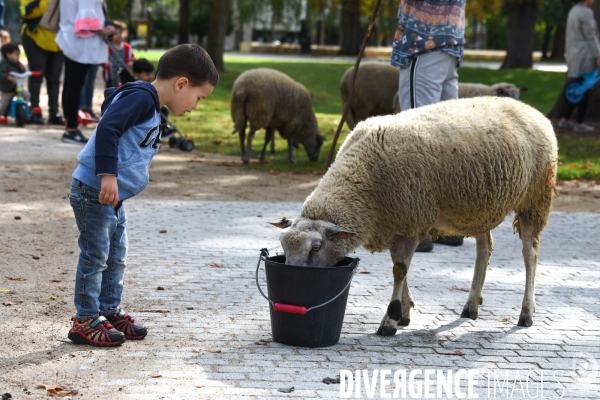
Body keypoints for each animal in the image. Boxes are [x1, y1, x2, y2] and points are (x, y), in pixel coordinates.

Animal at [272, 97, 556, 334]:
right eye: (284, 246)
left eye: (315, 248)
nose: (293, 282)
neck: (362, 180)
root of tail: (530, 109)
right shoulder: (394, 223)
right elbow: (399, 265)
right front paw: (405, 313)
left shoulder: (414, 221)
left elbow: (399, 269)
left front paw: (390, 320)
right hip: (479, 208)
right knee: (485, 248)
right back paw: (471, 306)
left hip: (535, 198)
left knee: (530, 254)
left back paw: (526, 313)